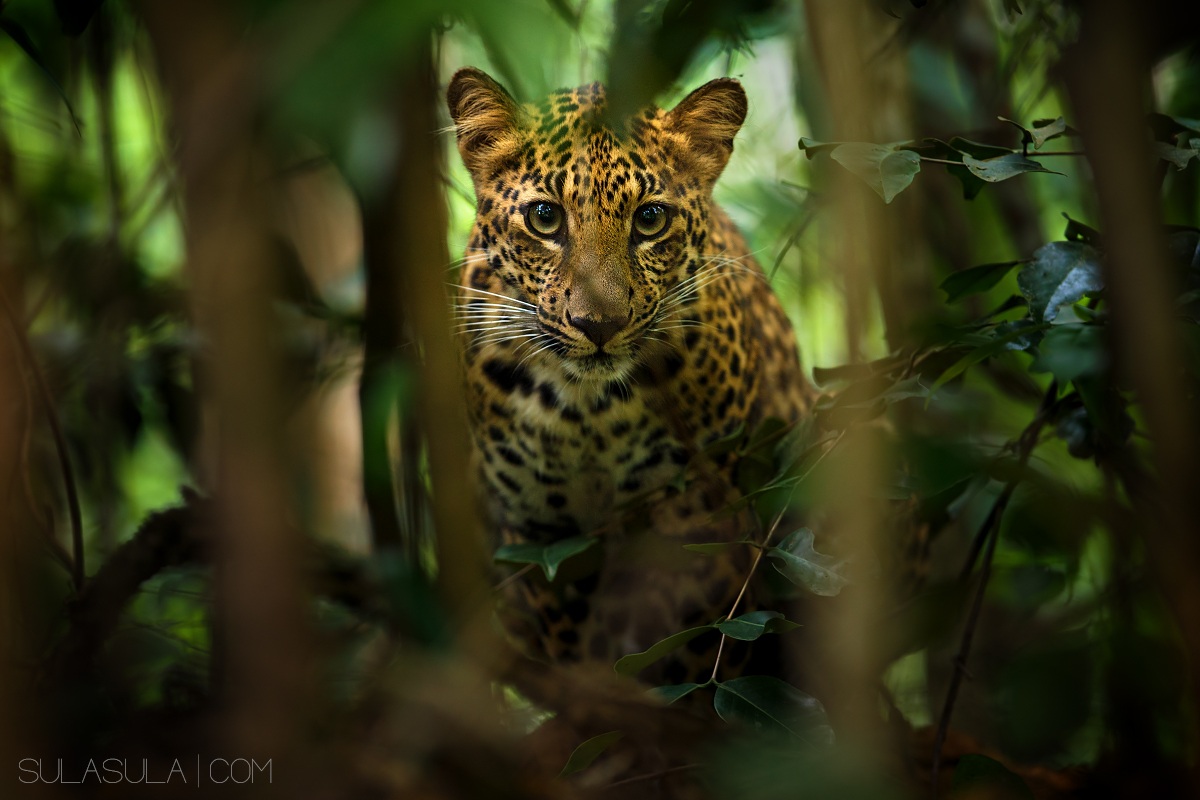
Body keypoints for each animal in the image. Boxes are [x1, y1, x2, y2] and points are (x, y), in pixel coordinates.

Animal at [446, 67, 814, 687]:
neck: (588, 410)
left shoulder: (698, 524)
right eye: (545, 217)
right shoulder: (543, 536)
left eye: (650, 219)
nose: (599, 324)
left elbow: (684, 650)